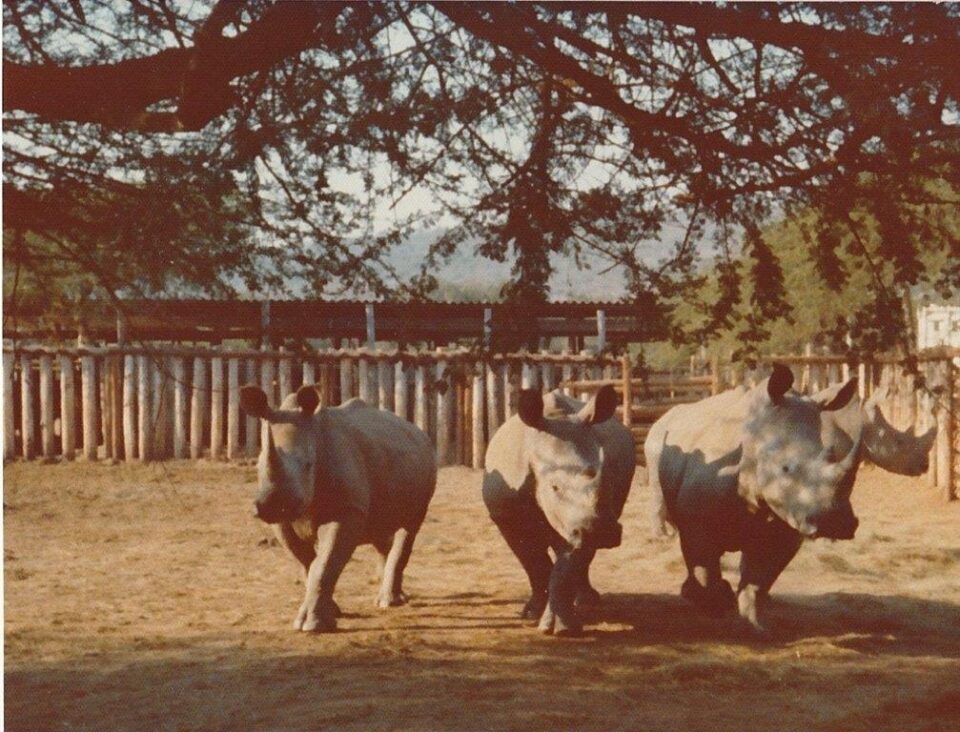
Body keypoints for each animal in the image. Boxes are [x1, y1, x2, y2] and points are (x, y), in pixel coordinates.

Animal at [240, 384, 437, 632]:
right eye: (257, 465)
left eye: (309, 465)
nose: (274, 505)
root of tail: (417, 429)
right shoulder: (283, 521)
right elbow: (307, 561)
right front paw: (332, 611)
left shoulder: (346, 510)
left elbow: (324, 563)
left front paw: (313, 625)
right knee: (380, 529)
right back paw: (389, 594)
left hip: (426, 465)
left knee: (410, 526)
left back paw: (390, 602)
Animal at [483, 385, 636, 636]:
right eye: (554, 487)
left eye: (606, 480)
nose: (602, 531)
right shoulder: (506, 516)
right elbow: (535, 563)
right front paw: (535, 615)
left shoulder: (580, 521)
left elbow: (566, 564)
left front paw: (563, 627)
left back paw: (587, 601)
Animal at [646, 364, 863, 633]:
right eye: (785, 469)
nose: (835, 523)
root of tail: (666, 413)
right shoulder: (697, 518)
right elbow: (705, 565)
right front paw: (714, 608)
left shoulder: (786, 523)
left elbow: (760, 576)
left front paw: (755, 623)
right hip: (657, 439)